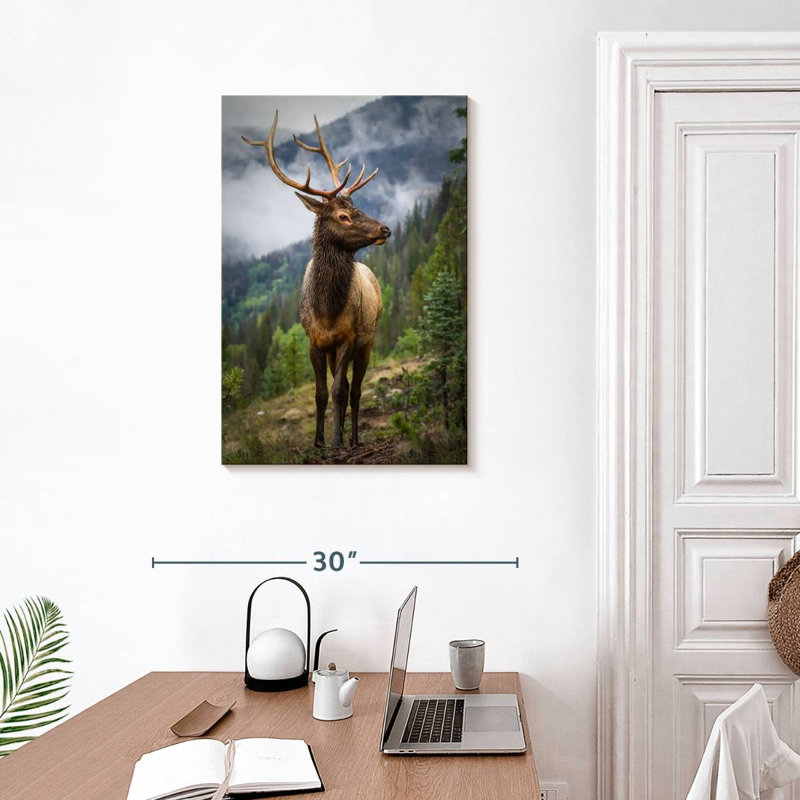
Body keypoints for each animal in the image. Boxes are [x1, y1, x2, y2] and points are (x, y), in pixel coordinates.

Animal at [243, 111, 391, 449]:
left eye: (358, 208)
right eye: (343, 217)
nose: (385, 229)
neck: (326, 310)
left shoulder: (348, 337)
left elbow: (338, 392)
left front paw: (336, 441)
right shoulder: (315, 340)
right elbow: (321, 393)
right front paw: (319, 441)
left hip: (368, 340)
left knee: (355, 391)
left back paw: (353, 439)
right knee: (346, 385)